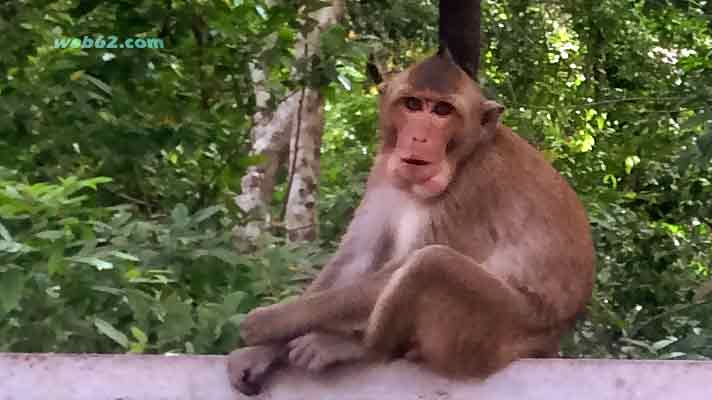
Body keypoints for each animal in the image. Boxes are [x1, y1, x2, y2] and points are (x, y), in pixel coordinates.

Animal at [227, 48, 596, 395]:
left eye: (443, 111)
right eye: (413, 104)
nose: (419, 138)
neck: (464, 156)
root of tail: (547, 343)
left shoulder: (476, 188)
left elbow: (398, 268)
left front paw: (266, 323)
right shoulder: (383, 170)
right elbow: (357, 259)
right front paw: (260, 352)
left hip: (498, 332)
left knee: (430, 264)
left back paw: (359, 348)